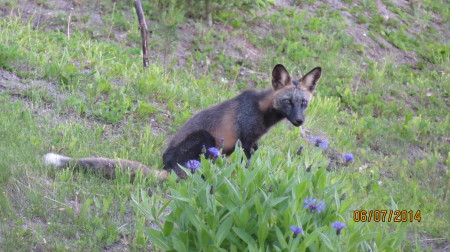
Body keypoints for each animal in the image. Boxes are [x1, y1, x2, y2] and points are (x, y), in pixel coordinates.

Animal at [44, 64, 320, 180]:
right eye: (287, 101)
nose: (299, 121)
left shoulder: (253, 143)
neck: (262, 113)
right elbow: (247, 166)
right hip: (207, 140)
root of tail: (166, 165)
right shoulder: (245, 140)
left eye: (304, 103)